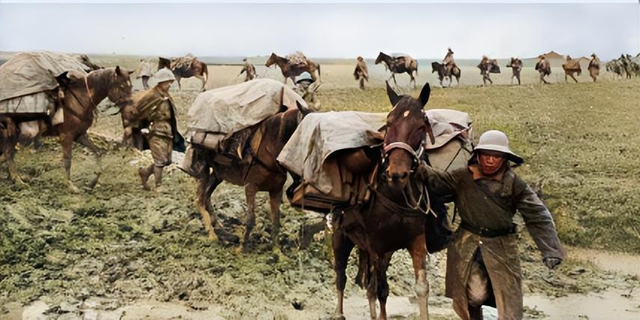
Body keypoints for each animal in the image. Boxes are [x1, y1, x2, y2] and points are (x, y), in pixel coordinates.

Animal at [0, 66, 132, 191]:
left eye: (130, 86)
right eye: (122, 86)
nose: (130, 108)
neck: (80, 98)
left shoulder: (80, 135)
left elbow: (97, 153)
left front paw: (92, 184)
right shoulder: (66, 136)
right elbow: (68, 160)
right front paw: (71, 186)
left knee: (7, 155)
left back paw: (17, 178)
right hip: (12, 135)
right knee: (8, 154)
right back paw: (19, 182)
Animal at [189, 101, 312, 249]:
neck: (270, 149)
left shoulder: (276, 190)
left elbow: (276, 220)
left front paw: (277, 251)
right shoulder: (250, 187)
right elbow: (251, 218)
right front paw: (241, 248)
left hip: (219, 174)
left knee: (207, 195)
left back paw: (219, 227)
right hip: (203, 171)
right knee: (199, 199)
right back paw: (212, 234)